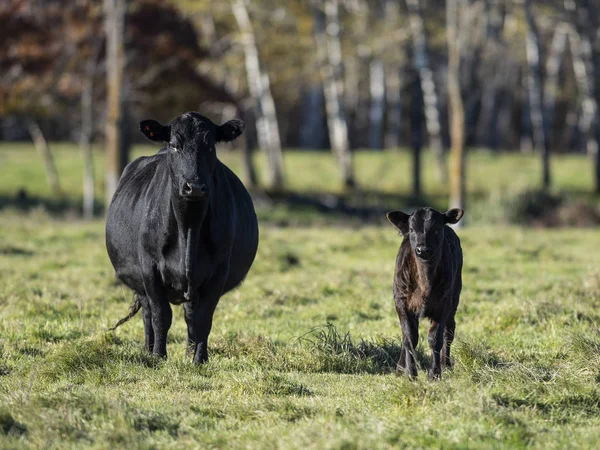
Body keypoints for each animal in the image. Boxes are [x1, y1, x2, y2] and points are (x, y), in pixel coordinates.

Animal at [105, 110, 258, 364]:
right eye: (175, 146)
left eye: (210, 146)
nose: (194, 186)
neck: (189, 227)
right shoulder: (149, 267)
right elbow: (161, 315)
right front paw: (159, 356)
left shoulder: (219, 271)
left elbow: (202, 319)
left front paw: (199, 360)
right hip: (140, 282)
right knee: (148, 314)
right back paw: (148, 350)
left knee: (190, 316)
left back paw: (189, 352)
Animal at [386, 207, 466, 380]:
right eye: (411, 229)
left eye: (436, 229)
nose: (422, 249)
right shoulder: (401, 302)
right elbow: (410, 337)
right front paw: (410, 373)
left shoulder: (443, 304)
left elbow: (435, 338)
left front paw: (434, 373)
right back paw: (400, 367)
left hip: (454, 301)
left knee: (449, 332)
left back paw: (446, 364)